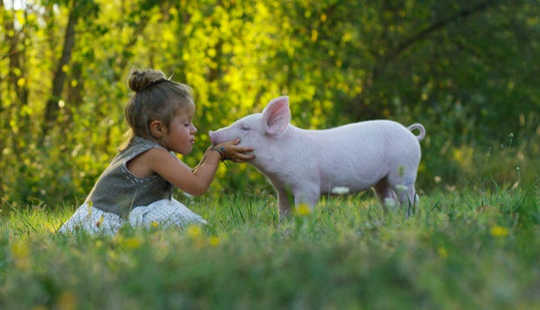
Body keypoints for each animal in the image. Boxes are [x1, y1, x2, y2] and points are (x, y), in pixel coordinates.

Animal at [209, 95, 424, 217]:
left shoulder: (307, 185)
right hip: (381, 181)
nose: (212, 133)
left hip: (404, 170)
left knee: (412, 198)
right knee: (388, 200)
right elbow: (283, 211)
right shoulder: (282, 190)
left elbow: (305, 208)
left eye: (245, 128)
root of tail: (410, 133)